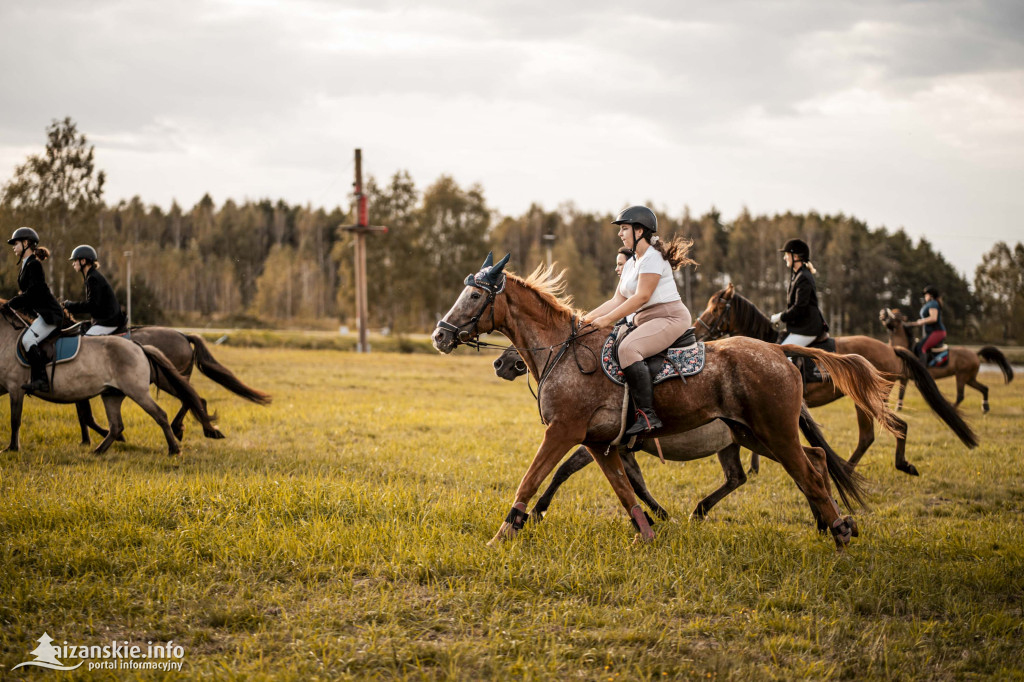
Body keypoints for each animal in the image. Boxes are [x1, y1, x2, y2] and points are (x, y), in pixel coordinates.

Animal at [74, 325, 272, 444]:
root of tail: (183, 335)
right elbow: (83, 416)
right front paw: (87, 441)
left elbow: (86, 416)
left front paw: (106, 438)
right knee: (193, 399)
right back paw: (200, 429)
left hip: (167, 379)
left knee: (192, 399)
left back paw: (194, 429)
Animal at [432, 254, 905, 548]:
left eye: (474, 295)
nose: (439, 335)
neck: (564, 353)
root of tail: (778, 352)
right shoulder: (601, 444)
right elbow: (625, 489)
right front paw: (647, 532)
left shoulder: (565, 431)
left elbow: (533, 479)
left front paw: (505, 532)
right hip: (753, 435)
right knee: (814, 462)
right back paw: (832, 524)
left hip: (774, 433)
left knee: (809, 471)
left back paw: (838, 530)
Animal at [696, 280, 974, 473]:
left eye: (717, 308)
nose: (697, 331)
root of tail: (890, 348)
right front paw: (755, 466)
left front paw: (755, 466)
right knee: (871, 435)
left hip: (870, 399)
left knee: (892, 427)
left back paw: (888, 466)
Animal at [876, 307, 1011, 411]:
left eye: (895, 316)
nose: (883, 311)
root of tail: (975, 354)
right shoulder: (901, 377)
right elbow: (900, 393)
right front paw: (897, 407)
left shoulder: (902, 377)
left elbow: (898, 392)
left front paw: (896, 408)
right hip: (969, 378)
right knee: (984, 388)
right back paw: (985, 407)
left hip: (961, 376)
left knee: (961, 395)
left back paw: (953, 408)